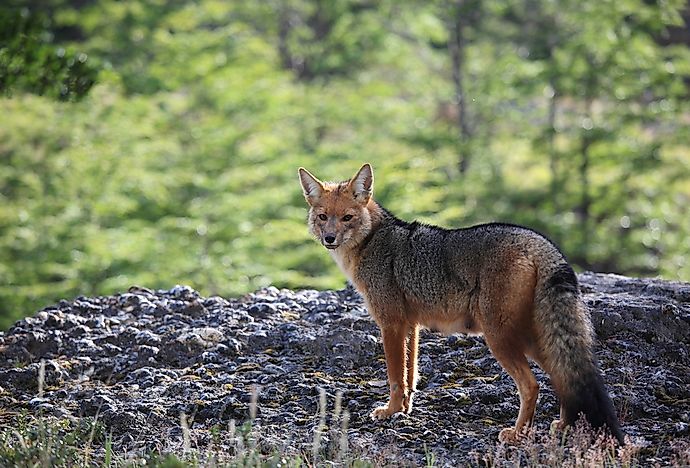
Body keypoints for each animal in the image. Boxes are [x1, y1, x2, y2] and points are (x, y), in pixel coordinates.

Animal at [296, 163, 624, 444]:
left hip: (500, 338)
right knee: (563, 376)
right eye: (323, 217)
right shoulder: (411, 326)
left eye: (347, 218)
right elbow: (411, 374)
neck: (373, 240)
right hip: (531, 339)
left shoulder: (390, 324)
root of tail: (539, 241)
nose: (329, 238)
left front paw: (390, 411)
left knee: (533, 385)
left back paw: (517, 435)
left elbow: (395, 377)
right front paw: (405, 410)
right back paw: (563, 426)